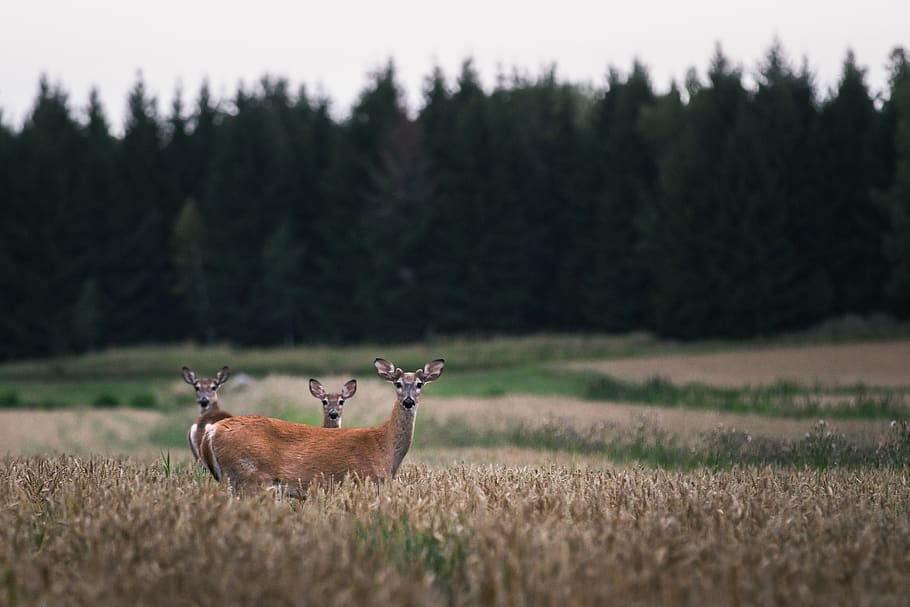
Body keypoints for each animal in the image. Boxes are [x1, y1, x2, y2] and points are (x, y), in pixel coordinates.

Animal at [199, 358, 445, 493]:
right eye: (398, 383)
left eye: (420, 384)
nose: (408, 401)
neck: (384, 447)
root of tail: (212, 431)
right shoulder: (365, 480)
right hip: (249, 477)